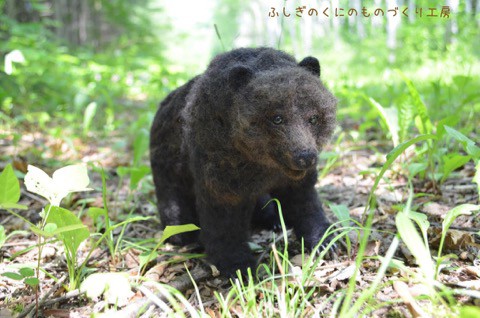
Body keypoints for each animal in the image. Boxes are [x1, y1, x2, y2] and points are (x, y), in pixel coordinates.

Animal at [151, 46, 338, 276]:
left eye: (313, 118)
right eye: (277, 118)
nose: (305, 157)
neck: (259, 163)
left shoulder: (293, 181)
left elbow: (307, 207)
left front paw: (326, 242)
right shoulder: (219, 179)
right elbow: (224, 226)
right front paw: (237, 266)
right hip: (167, 172)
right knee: (175, 207)